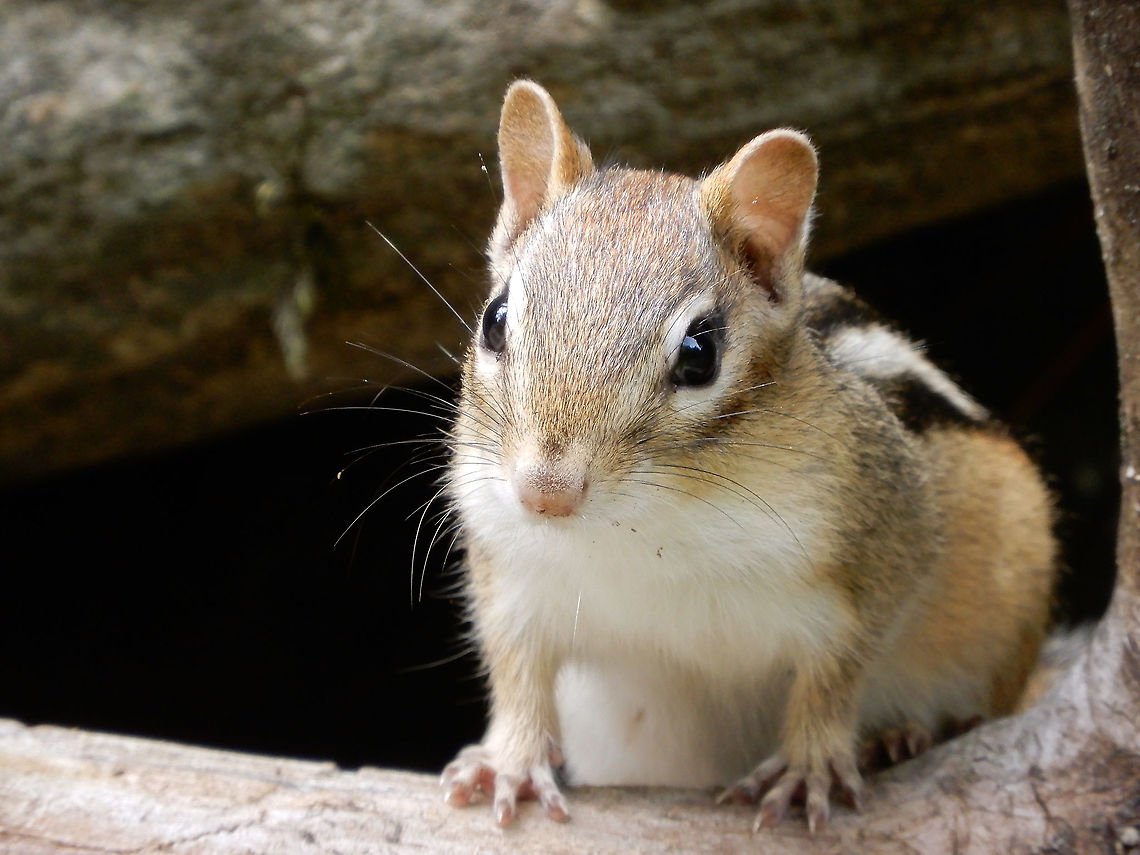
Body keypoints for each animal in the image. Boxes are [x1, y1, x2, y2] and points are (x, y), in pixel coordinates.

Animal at [439, 80, 1058, 833]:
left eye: (700, 354)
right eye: (495, 319)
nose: (545, 492)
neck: (646, 521)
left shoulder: (881, 548)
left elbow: (836, 671)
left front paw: (809, 764)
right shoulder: (511, 571)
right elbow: (517, 672)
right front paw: (510, 760)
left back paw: (900, 736)